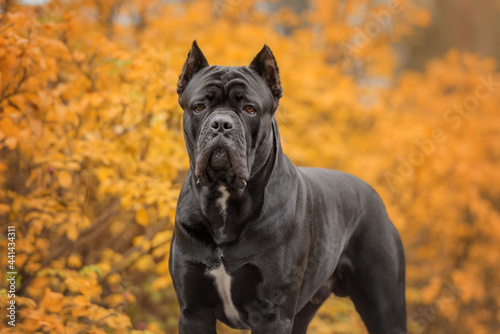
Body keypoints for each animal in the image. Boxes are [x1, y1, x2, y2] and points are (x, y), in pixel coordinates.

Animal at [168, 40, 406, 332]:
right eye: (199, 107)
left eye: (250, 109)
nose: (221, 124)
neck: (225, 198)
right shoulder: (194, 310)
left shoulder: (272, 313)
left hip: (384, 306)